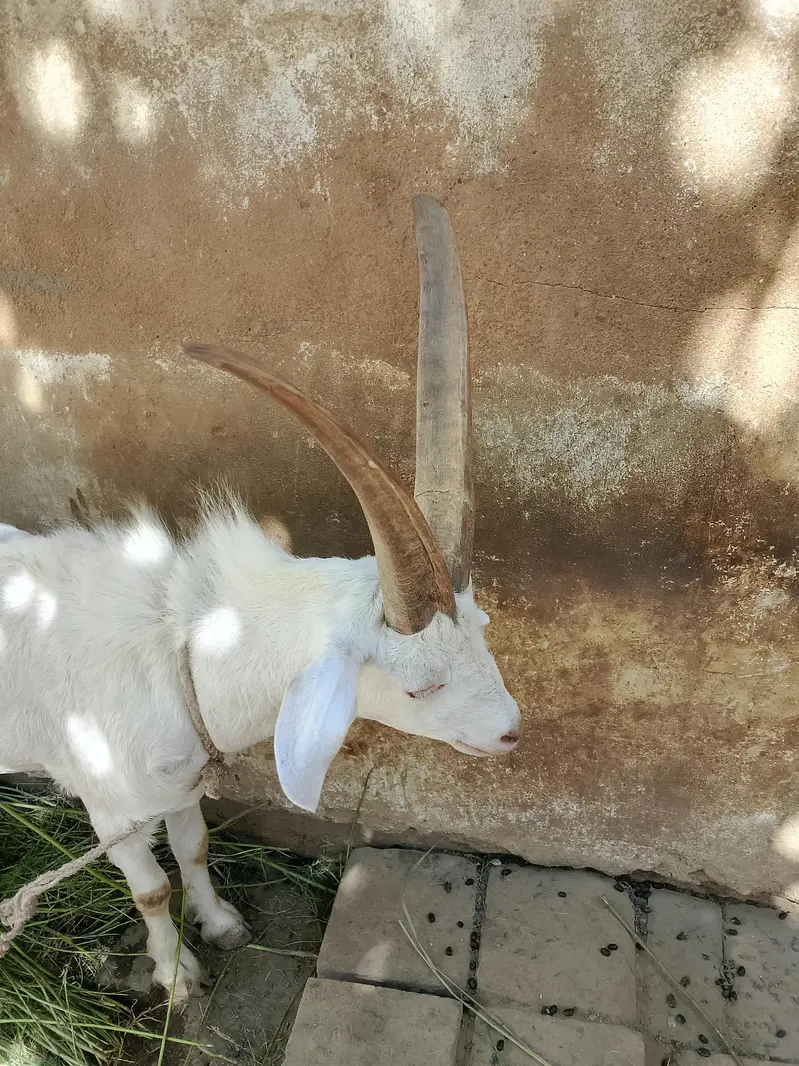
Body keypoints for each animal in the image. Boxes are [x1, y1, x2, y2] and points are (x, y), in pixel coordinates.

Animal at [0, 196, 521, 1001]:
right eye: (419, 685)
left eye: (485, 631)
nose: (511, 733)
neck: (184, 648)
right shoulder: (112, 803)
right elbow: (151, 886)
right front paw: (178, 977)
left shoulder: (182, 782)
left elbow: (195, 848)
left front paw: (220, 926)